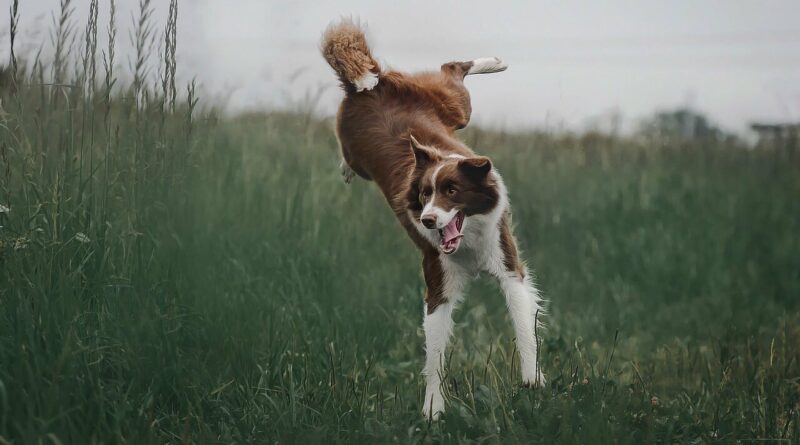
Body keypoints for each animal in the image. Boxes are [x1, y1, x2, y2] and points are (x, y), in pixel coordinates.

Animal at [324, 19, 544, 418]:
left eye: (452, 191)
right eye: (425, 194)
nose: (427, 220)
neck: (469, 243)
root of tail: (369, 85)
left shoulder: (508, 265)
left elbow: (524, 326)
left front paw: (532, 379)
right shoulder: (437, 281)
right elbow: (435, 354)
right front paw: (433, 410)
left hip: (454, 107)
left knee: (452, 70)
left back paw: (494, 62)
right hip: (375, 139)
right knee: (447, 71)